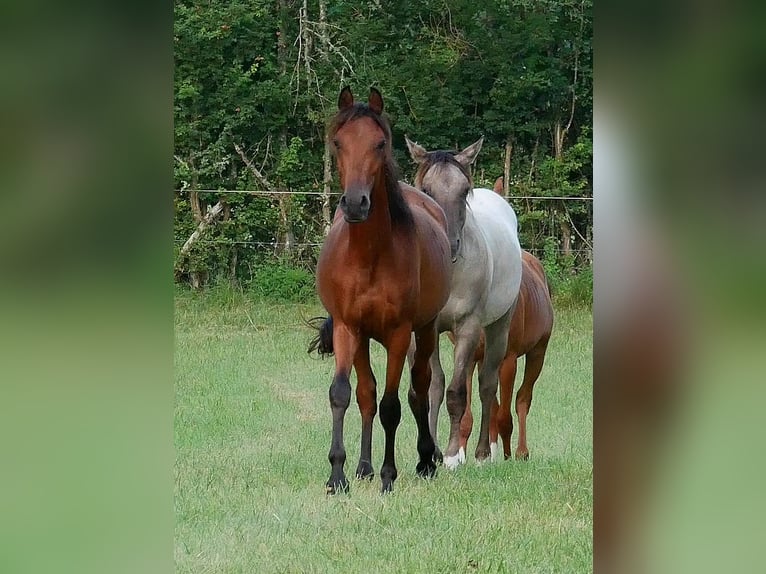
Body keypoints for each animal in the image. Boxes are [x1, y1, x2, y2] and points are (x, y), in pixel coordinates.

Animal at [308, 88, 452, 498]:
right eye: (338, 142)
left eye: (380, 143)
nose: (356, 203)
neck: (368, 256)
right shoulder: (347, 328)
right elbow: (344, 394)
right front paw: (337, 475)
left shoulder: (399, 334)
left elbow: (392, 405)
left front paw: (389, 476)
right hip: (361, 339)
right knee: (367, 394)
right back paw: (364, 467)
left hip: (425, 330)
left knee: (419, 388)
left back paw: (424, 461)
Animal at [408, 137, 520, 470]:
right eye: (426, 189)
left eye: (463, 190)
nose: (449, 243)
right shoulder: (423, 329)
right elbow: (431, 386)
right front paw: (429, 453)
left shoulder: (468, 327)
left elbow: (457, 392)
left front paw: (451, 455)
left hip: (498, 327)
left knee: (487, 385)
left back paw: (482, 454)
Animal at [452, 250, 556, 462]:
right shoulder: (469, 358)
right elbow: (469, 414)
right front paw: (461, 457)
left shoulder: (508, 360)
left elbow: (504, 415)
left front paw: (507, 458)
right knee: (493, 404)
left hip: (538, 352)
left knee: (522, 398)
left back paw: (520, 452)